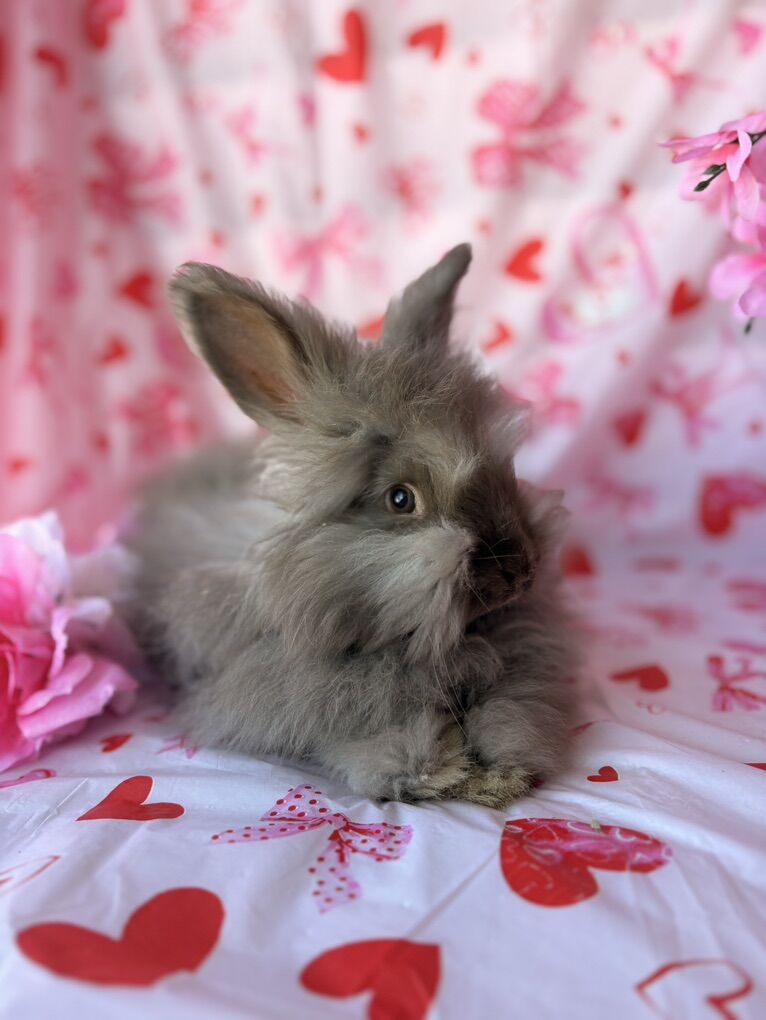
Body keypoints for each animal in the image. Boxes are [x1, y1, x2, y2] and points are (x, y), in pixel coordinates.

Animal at [125, 243, 579, 808]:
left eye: (506, 471)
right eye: (401, 499)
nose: (521, 570)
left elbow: (512, 715)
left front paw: (502, 772)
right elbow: (381, 744)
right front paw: (444, 771)